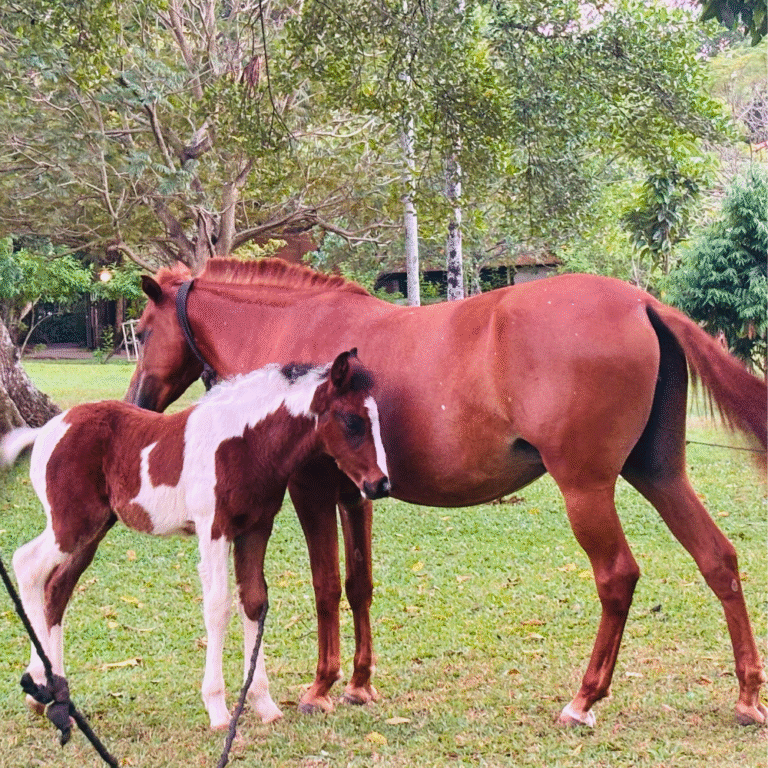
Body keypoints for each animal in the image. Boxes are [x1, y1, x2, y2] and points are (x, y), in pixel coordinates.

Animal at [1, 350, 389, 730]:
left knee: (57, 588)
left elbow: (254, 601)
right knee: (27, 565)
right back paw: (41, 687)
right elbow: (218, 606)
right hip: (70, 523)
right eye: (352, 421)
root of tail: (48, 430)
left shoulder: (255, 528)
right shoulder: (213, 529)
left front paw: (263, 704)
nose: (380, 484)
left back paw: (52, 695)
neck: (245, 442)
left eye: (376, 419)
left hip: (92, 529)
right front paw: (218, 710)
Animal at [125, 257, 767, 727]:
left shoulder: (310, 491)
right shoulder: (356, 493)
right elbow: (359, 584)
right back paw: (747, 696)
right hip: (659, 474)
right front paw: (359, 684)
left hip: (585, 488)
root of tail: (640, 301)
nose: (136, 402)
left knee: (617, 577)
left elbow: (326, 586)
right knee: (718, 559)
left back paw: (584, 699)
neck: (294, 329)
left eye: (144, 329)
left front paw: (322, 687)